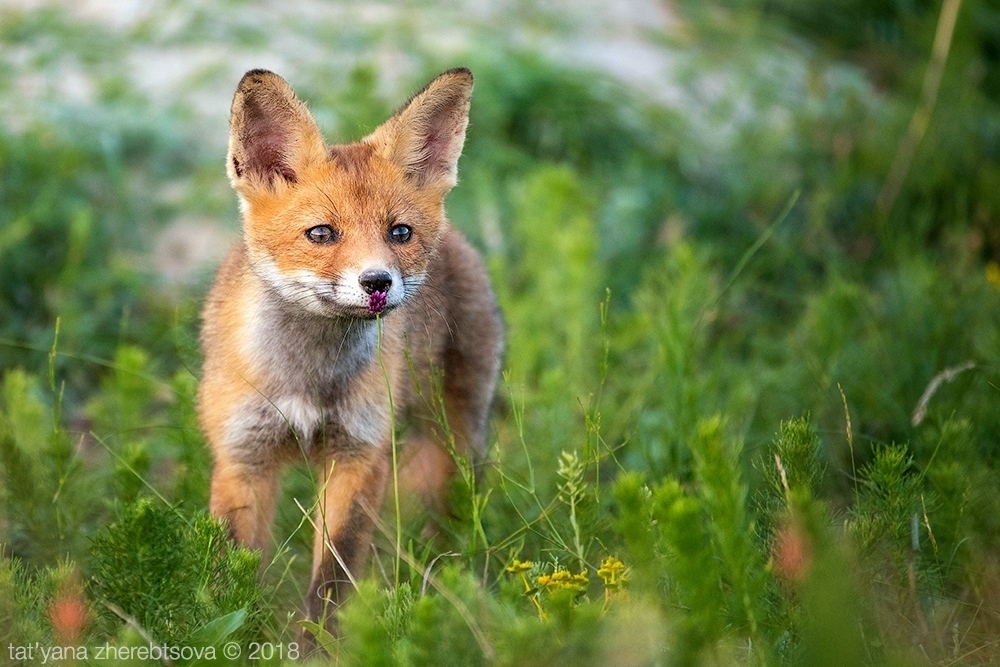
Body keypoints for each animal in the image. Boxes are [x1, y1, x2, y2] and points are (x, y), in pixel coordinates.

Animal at [196, 69, 504, 632]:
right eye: (321, 233)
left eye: (399, 233)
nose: (377, 282)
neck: (307, 379)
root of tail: (462, 239)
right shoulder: (243, 455)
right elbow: (234, 566)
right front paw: (234, 626)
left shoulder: (359, 455)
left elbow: (333, 576)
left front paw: (317, 642)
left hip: (453, 438)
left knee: (449, 519)